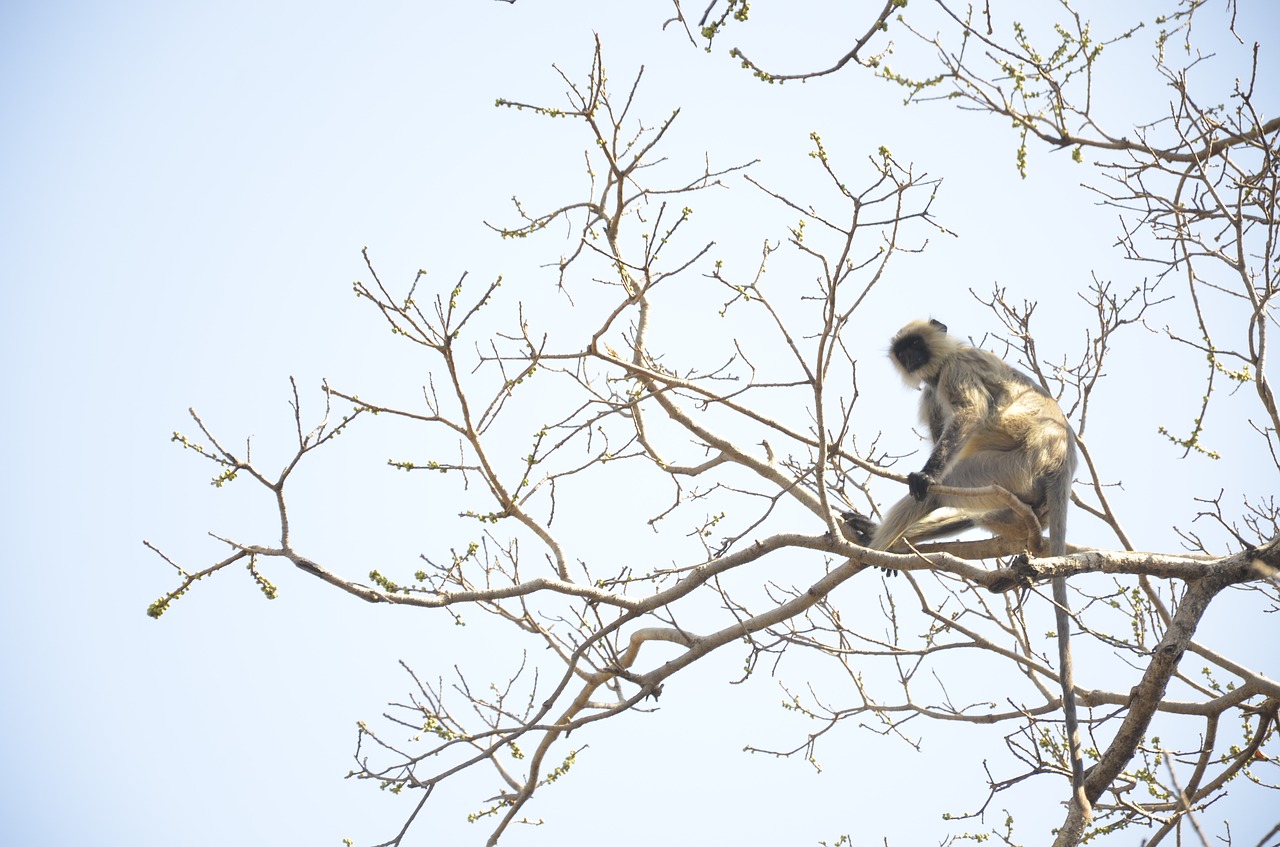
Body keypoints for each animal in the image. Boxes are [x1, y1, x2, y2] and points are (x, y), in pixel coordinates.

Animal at [849, 318, 1090, 823]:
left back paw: (881, 547)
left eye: (917, 346)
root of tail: (1062, 461)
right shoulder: (929, 390)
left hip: (1011, 465)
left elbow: (967, 418)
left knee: (942, 488)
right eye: (905, 352)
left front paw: (922, 477)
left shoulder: (954, 369)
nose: (913, 358)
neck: (939, 366)